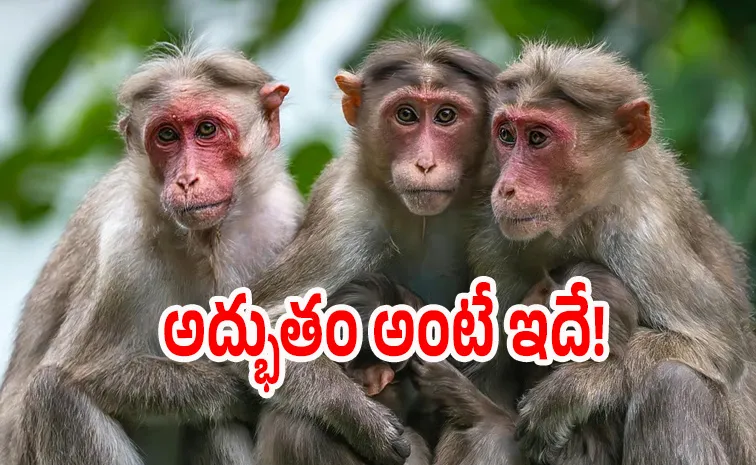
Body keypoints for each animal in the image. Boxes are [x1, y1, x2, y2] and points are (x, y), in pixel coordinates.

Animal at [0, 43, 304, 465]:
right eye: (167, 135)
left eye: (206, 129)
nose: (186, 180)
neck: (203, 242)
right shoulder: (121, 254)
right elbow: (85, 370)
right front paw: (239, 386)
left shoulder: (280, 222)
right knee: (52, 393)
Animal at [248, 37, 502, 465]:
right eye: (406, 115)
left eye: (446, 116)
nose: (425, 164)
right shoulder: (345, 208)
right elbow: (258, 326)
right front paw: (363, 420)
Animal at [464, 41, 756, 465]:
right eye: (506, 134)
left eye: (537, 139)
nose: (506, 188)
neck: (579, 218)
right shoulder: (496, 241)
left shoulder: (641, 235)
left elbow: (720, 350)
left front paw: (574, 387)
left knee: (672, 386)